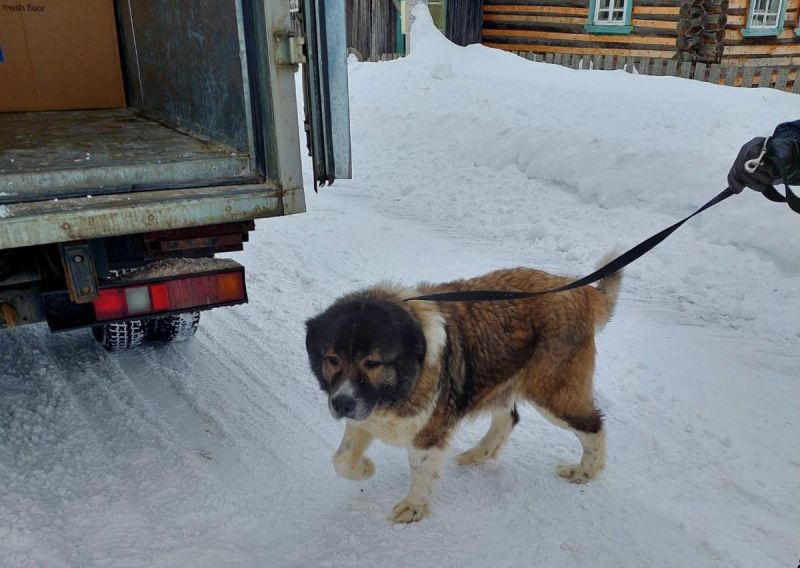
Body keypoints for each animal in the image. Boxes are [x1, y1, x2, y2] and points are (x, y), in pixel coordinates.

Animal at [304, 256, 620, 524]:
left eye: (372, 363)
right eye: (332, 359)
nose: (341, 404)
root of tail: (579, 291)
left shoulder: (428, 433)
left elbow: (420, 470)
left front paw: (414, 507)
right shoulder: (365, 415)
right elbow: (342, 458)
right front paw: (364, 468)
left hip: (552, 392)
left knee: (593, 425)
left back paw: (585, 471)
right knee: (509, 417)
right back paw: (478, 454)